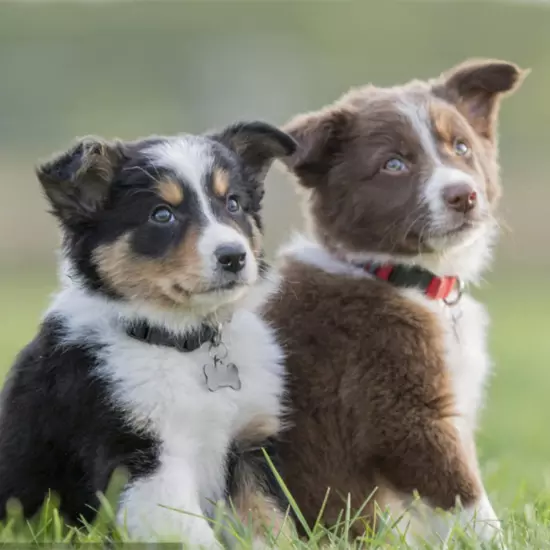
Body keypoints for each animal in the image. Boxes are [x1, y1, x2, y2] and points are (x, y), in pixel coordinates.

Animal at [0, 124, 298, 548]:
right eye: (162, 214)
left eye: (233, 204)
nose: (234, 257)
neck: (184, 341)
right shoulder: (140, 456)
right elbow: (194, 534)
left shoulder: (248, 447)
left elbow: (271, 525)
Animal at [266, 58, 528, 544]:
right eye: (394, 164)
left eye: (461, 147)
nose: (464, 195)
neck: (403, 278)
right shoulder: (399, 409)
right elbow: (467, 498)